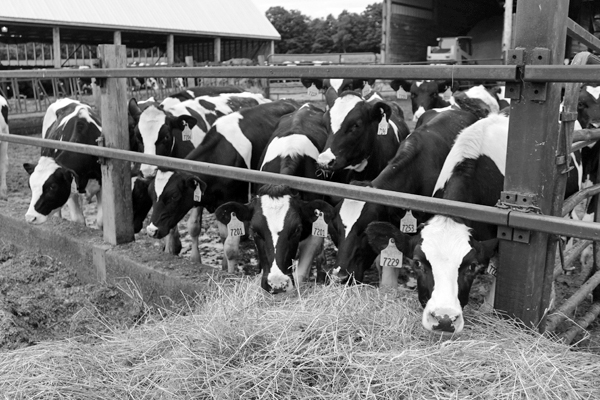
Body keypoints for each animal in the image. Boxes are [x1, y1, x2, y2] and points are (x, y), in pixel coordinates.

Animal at [23, 99, 102, 227]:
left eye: (53, 186)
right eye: (30, 186)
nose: (30, 217)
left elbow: (101, 221)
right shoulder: (70, 190)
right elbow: (78, 220)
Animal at [143, 99, 298, 270]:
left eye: (174, 196)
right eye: (150, 193)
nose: (151, 230)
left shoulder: (235, 199)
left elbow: (230, 247)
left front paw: (230, 272)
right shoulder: (209, 198)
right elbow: (206, 231)